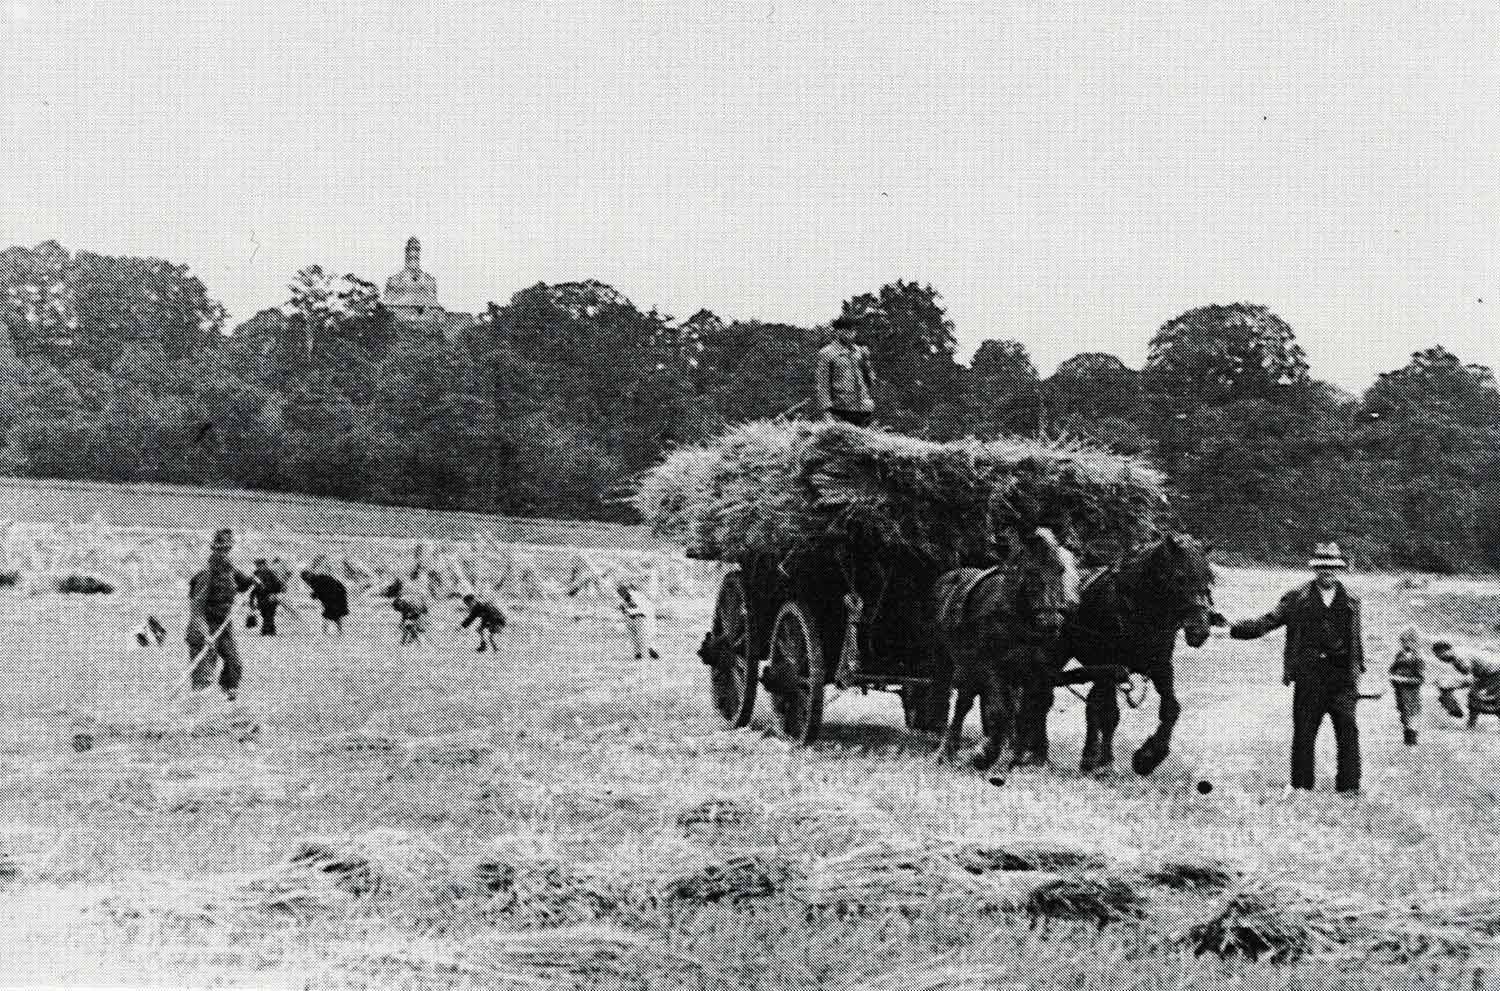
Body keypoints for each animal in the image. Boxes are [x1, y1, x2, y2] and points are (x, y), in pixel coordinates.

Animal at [930, 527, 1081, 770]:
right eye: (1031, 572)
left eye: (1061, 570)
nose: (1051, 622)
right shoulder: (991, 667)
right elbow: (1000, 710)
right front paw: (984, 754)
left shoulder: (1037, 671)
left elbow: (1029, 709)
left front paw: (1020, 756)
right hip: (954, 663)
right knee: (960, 703)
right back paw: (946, 751)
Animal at [1019, 532, 1217, 776]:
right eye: (1180, 577)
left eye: (1209, 579)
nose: (1200, 630)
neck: (1137, 608)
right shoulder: (1111, 667)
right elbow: (1110, 714)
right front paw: (1106, 764)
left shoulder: (1160, 667)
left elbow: (1171, 709)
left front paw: (1148, 757)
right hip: (1057, 656)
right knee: (1041, 695)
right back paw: (1036, 753)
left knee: (1086, 702)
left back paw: (1080, 757)